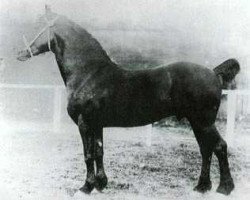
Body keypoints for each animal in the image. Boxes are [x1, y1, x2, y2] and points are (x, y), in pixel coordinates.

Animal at [16, 8, 239, 195]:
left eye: (39, 25)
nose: (19, 53)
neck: (88, 73)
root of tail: (213, 72)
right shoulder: (97, 124)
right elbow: (99, 152)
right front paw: (101, 184)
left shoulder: (84, 123)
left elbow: (88, 154)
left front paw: (86, 187)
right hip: (197, 122)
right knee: (206, 149)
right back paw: (202, 186)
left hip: (203, 122)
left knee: (219, 147)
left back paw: (224, 188)